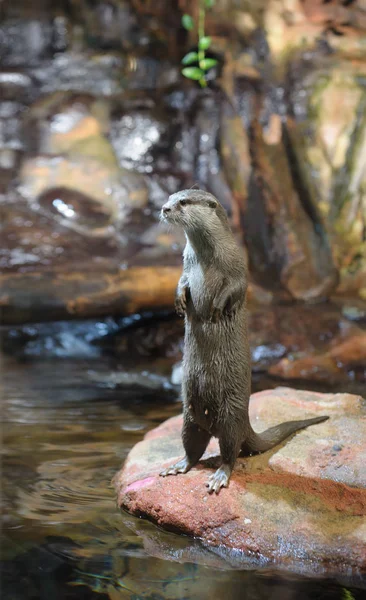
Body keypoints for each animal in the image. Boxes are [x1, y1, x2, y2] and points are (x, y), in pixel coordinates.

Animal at [159, 190, 328, 494]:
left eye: (184, 202)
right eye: (170, 197)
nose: (165, 208)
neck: (207, 259)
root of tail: (245, 424)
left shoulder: (239, 265)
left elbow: (235, 288)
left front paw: (217, 307)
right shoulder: (186, 265)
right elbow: (182, 281)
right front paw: (179, 299)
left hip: (230, 415)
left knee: (230, 452)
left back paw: (219, 477)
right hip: (189, 418)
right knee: (193, 448)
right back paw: (178, 466)